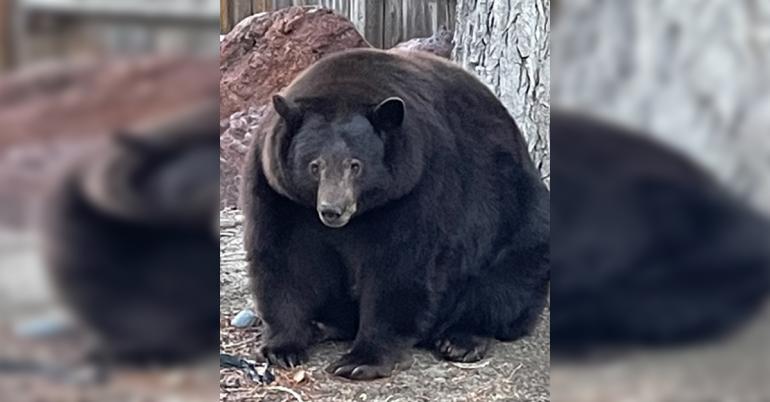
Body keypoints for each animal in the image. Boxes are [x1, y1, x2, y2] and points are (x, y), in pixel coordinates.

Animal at [243, 48, 548, 378]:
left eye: (355, 165)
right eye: (315, 165)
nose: (332, 210)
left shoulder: (418, 185)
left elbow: (400, 266)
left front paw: (360, 360)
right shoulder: (278, 191)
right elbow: (284, 257)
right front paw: (283, 348)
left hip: (516, 215)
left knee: (507, 280)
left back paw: (461, 339)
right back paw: (324, 325)